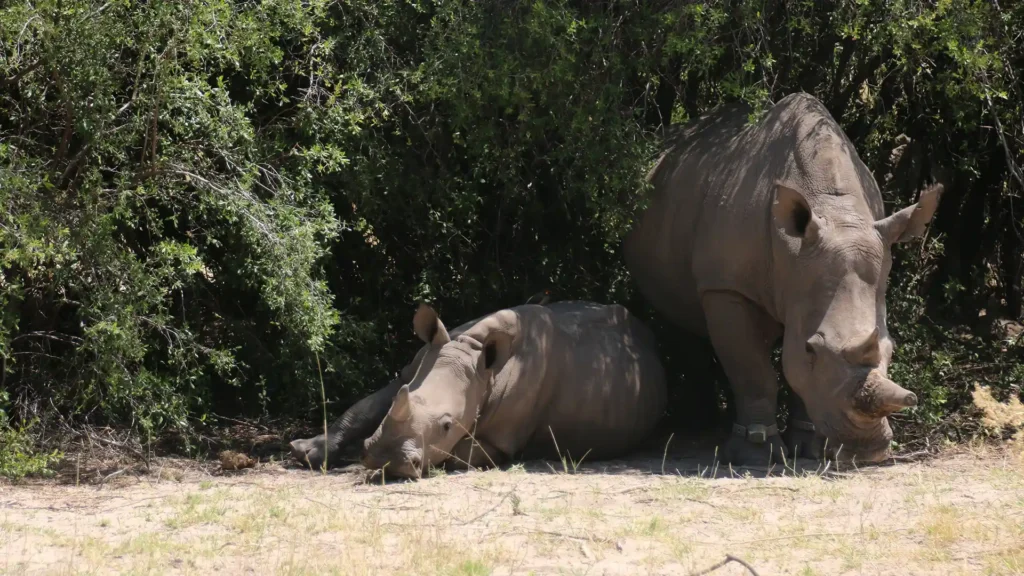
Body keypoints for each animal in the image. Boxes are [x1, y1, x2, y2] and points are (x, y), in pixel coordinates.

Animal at [292, 297, 667, 477]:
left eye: (448, 424)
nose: (385, 461)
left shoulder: (503, 436)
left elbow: (462, 454)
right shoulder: (407, 373)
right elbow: (362, 409)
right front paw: (304, 452)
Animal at [618, 91, 937, 463]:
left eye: (891, 349)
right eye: (813, 349)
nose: (867, 447)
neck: (835, 209)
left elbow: (793, 367)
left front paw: (812, 447)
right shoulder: (727, 287)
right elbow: (754, 371)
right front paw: (757, 456)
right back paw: (697, 424)